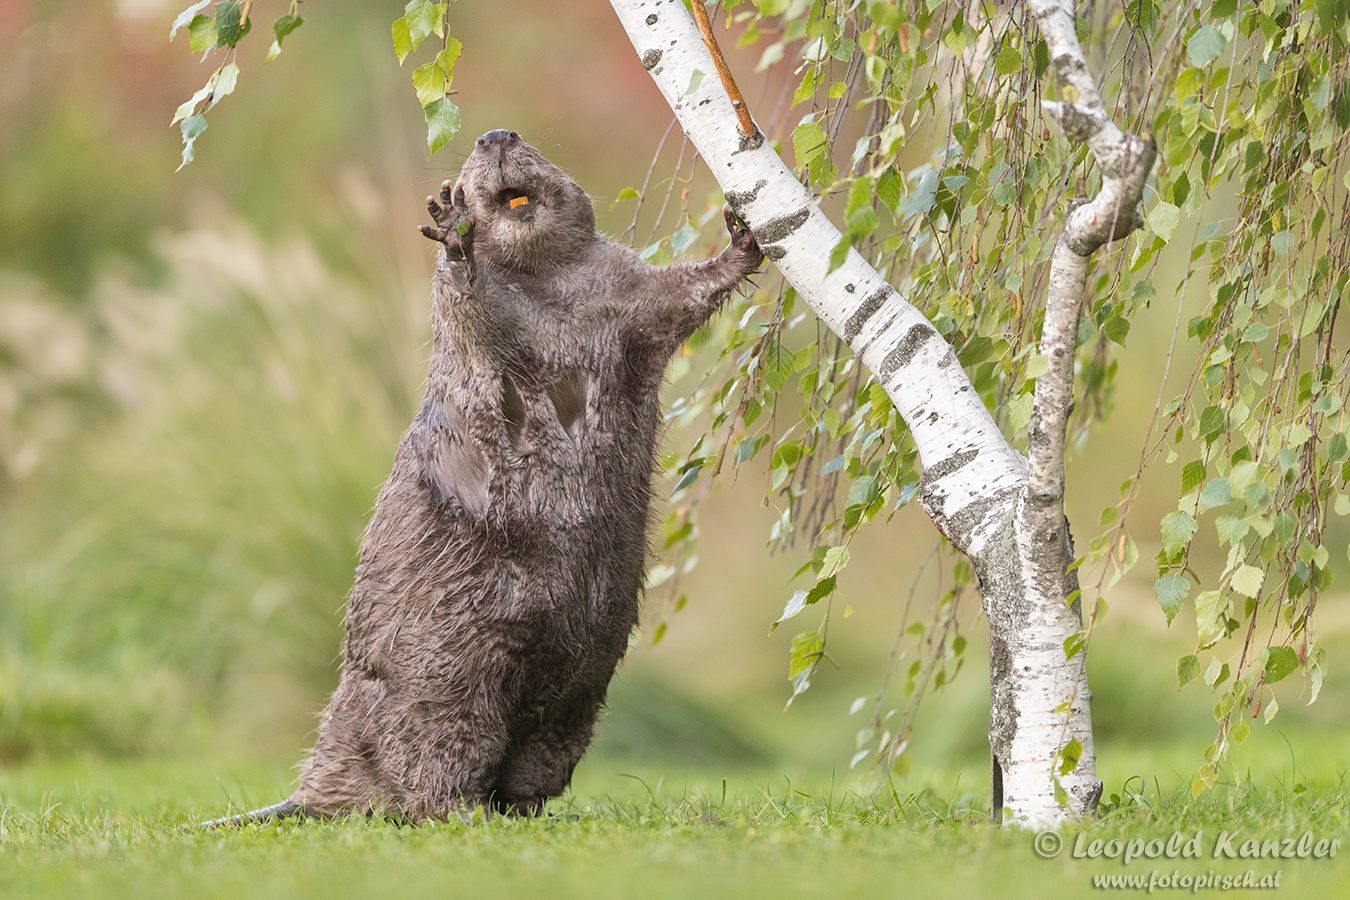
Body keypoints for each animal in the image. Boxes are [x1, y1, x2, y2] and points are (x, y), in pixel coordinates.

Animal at [205, 130, 766, 825]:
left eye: (529, 140)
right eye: (476, 153)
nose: (496, 136)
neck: (546, 281)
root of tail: (317, 784)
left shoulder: (625, 291)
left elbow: (678, 297)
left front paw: (744, 237)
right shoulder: (470, 332)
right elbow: (469, 311)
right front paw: (453, 231)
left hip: (584, 683)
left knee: (539, 747)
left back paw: (527, 808)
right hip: (449, 674)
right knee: (434, 767)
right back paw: (461, 811)